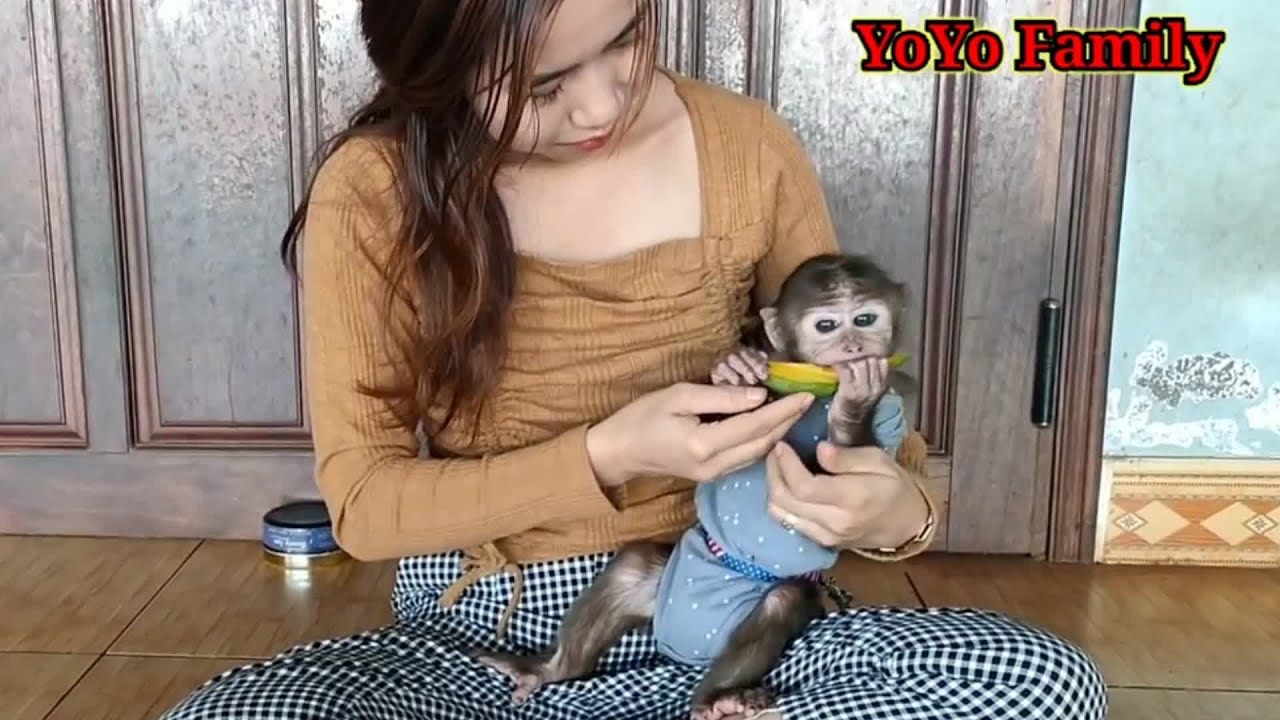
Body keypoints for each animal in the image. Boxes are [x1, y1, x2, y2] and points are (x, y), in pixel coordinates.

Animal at [468, 253, 912, 720]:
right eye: (827, 325)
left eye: (865, 319)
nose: (854, 347)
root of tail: (683, 649)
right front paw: (736, 370)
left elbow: (840, 473)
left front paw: (855, 402)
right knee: (631, 568)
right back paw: (551, 669)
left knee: (782, 604)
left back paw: (719, 698)